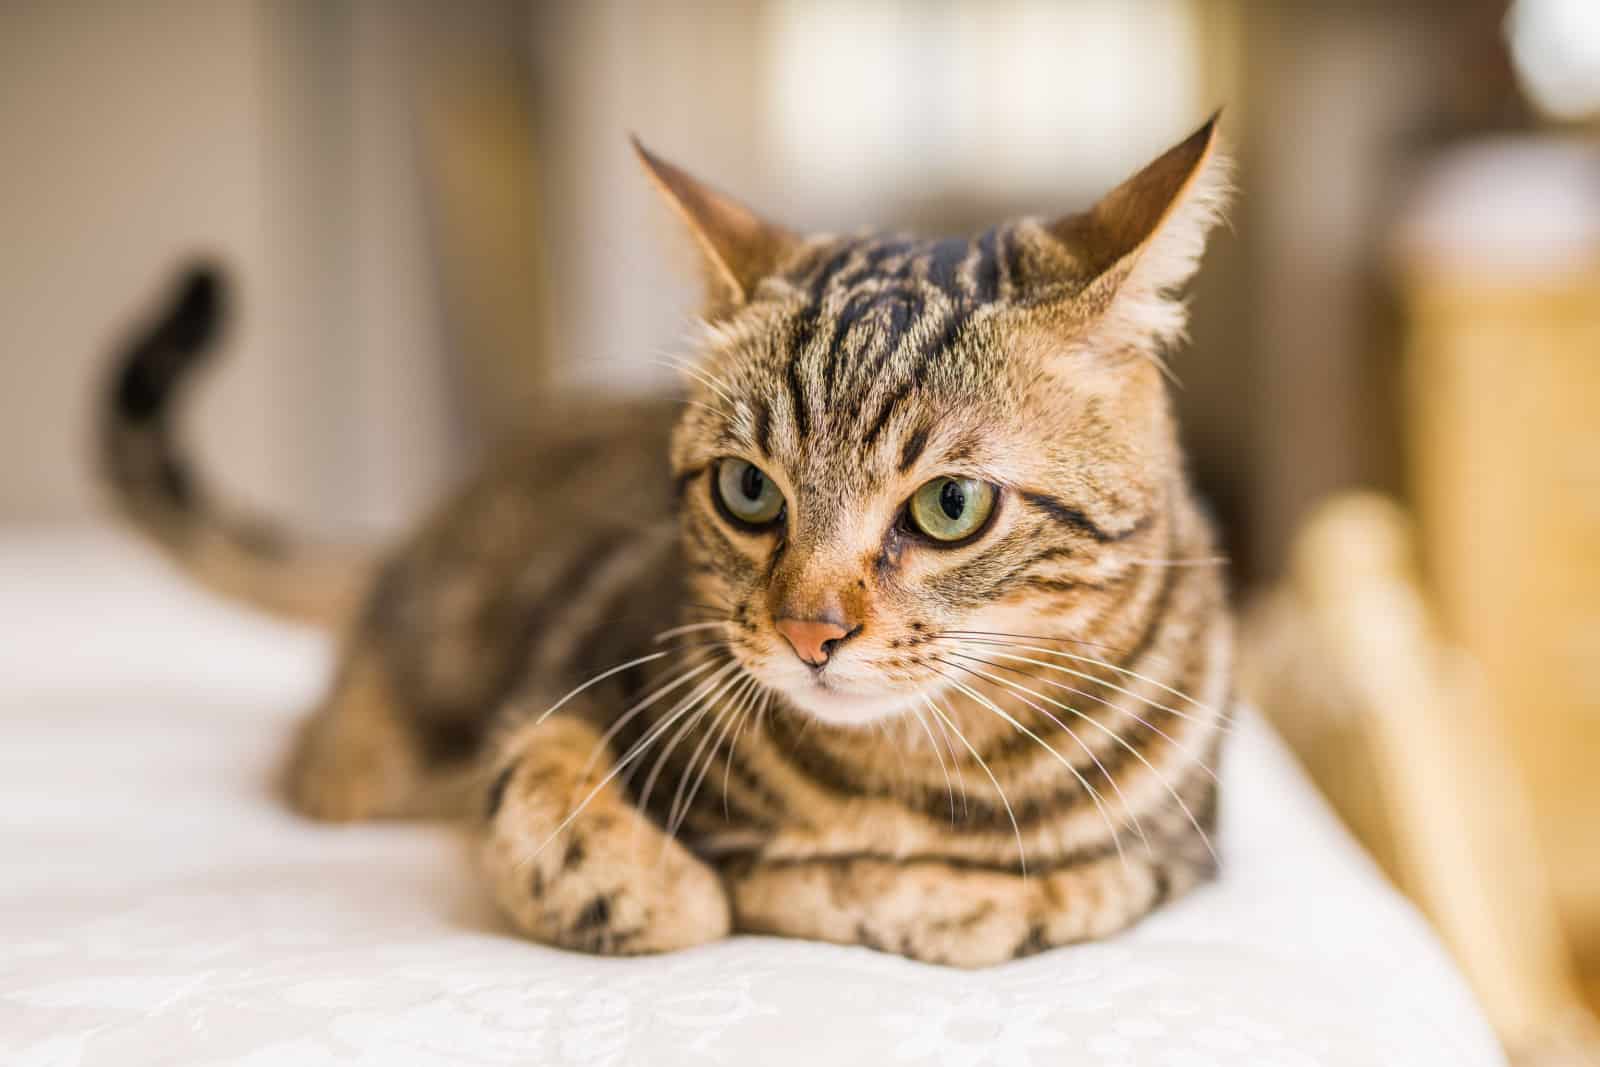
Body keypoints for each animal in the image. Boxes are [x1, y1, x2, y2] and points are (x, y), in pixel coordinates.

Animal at [103, 116, 1235, 966]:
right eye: (747, 489)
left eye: (950, 506)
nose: (809, 631)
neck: (900, 773)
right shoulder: (563, 681)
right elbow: (553, 809)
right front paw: (675, 882)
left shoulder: (1177, 851)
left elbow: (1032, 895)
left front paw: (873, 886)